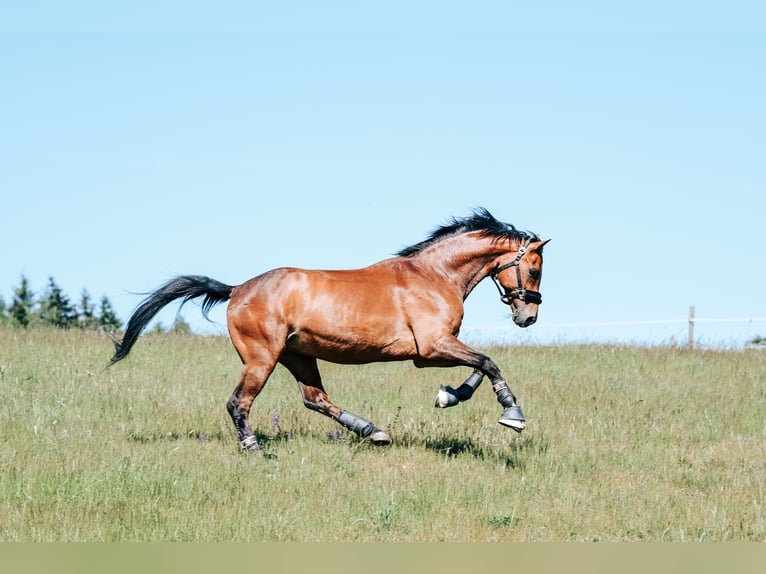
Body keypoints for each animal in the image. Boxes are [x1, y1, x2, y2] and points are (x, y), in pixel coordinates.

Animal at [110, 208, 549, 450]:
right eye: (534, 268)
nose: (527, 317)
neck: (434, 274)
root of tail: (237, 289)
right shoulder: (430, 349)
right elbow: (488, 363)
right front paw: (513, 415)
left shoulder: (437, 348)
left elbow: (480, 365)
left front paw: (450, 396)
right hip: (262, 357)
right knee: (239, 402)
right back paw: (254, 448)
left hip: (298, 355)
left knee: (315, 398)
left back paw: (373, 431)